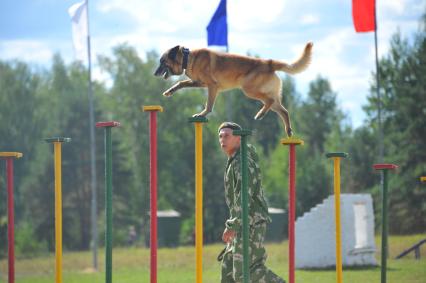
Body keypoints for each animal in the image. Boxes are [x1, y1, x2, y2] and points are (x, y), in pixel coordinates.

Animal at [155, 42, 312, 139]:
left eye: (162, 62)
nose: (155, 73)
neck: (188, 58)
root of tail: (269, 63)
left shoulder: (212, 86)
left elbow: (209, 105)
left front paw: (202, 114)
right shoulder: (199, 83)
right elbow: (181, 83)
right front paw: (170, 91)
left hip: (249, 89)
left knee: (269, 100)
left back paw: (260, 114)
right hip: (267, 96)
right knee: (284, 111)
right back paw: (288, 130)